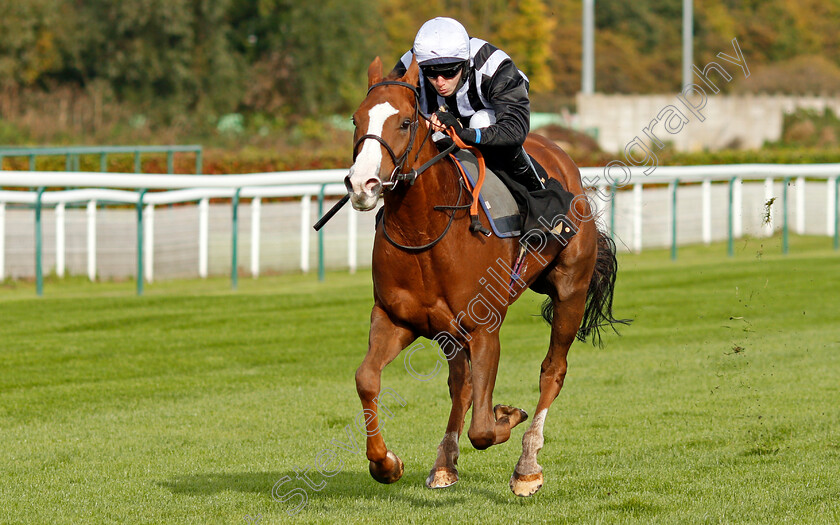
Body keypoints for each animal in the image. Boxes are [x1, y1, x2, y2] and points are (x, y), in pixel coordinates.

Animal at [344, 56, 628, 496]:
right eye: (356, 120)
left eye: (406, 122)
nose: (362, 184)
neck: (425, 230)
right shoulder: (396, 319)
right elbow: (367, 379)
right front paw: (385, 463)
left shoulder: (483, 327)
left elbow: (482, 428)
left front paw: (506, 415)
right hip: (449, 331)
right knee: (459, 384)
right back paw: (445, 463)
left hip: (571, 291)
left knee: (553, 371)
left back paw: (528, 465)